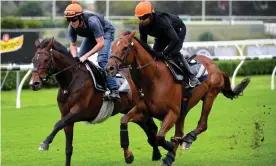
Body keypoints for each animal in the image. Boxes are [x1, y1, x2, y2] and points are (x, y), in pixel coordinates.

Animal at [30, 38, 163, 166]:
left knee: (151, 127)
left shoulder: (79, 111)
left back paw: (155, 152)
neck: (70, 84)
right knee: (148, 127)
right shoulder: (66, 116)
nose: (34, 83)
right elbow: (68, 147)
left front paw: (45, 143)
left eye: (46, 60)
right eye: (33, 60)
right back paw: (154, 153)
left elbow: (57, 124)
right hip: (130, 109)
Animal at [104, 30, 250, 166]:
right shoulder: (142, 111)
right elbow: (124, 121)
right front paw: (128, 155)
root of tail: (216, 66)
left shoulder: (172, 113)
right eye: (112, 46)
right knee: (180, 131)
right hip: (184, 111)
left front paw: (169, 145)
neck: (154, 79)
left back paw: (187, 140)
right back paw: (171, 154)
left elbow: (159, 137)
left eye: (125, 47)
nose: (109, 68)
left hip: (210, 95)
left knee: (202, 125)